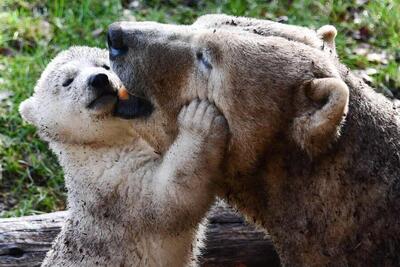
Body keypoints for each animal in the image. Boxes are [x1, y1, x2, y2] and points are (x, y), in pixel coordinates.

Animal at [18, 46, 230, 267]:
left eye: (104, 65)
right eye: (67, 80)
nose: (99, 79)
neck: (99, 144)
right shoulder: (114, 184)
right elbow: (165, 201)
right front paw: (199, 119)